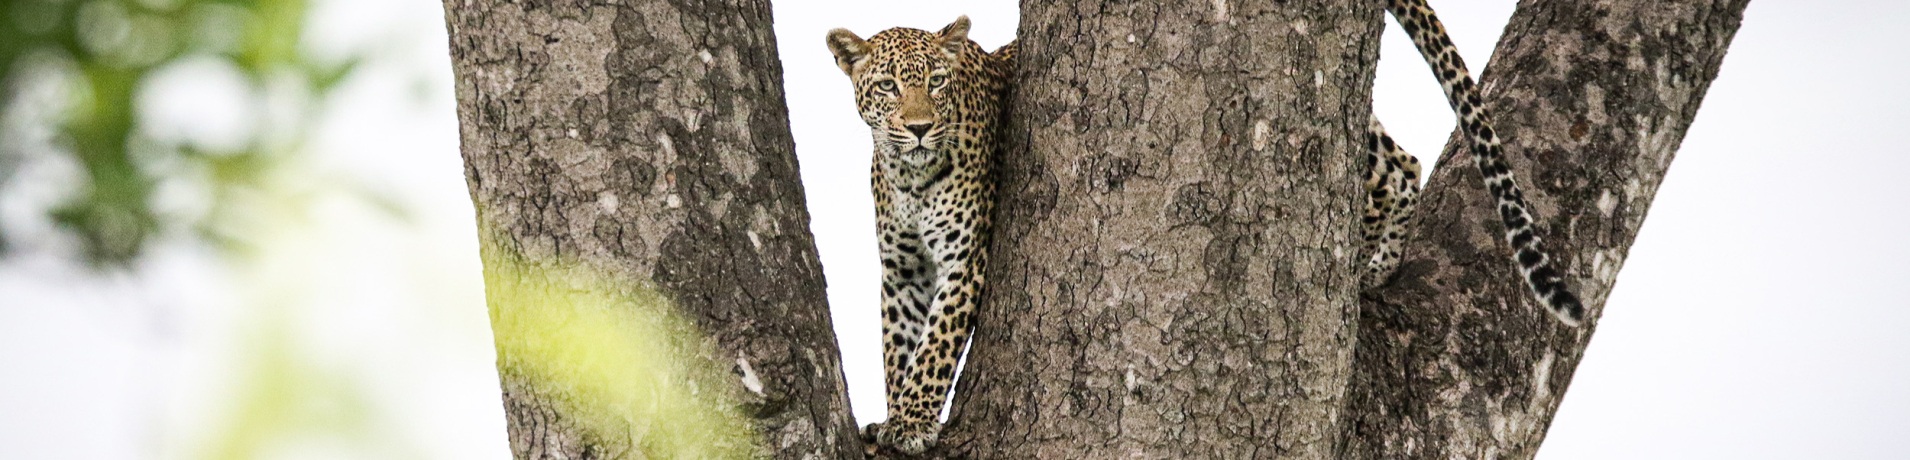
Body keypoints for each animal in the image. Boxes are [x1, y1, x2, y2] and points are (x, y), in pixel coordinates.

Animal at [825, 16, 1014, 455]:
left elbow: (935, 344)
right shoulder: (903, 270)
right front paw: (894, 417)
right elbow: (899, 346)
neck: (912, 177)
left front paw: (912, 422)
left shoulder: (965, 259)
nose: (920, 128)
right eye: (887, 86)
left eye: (937, 81)